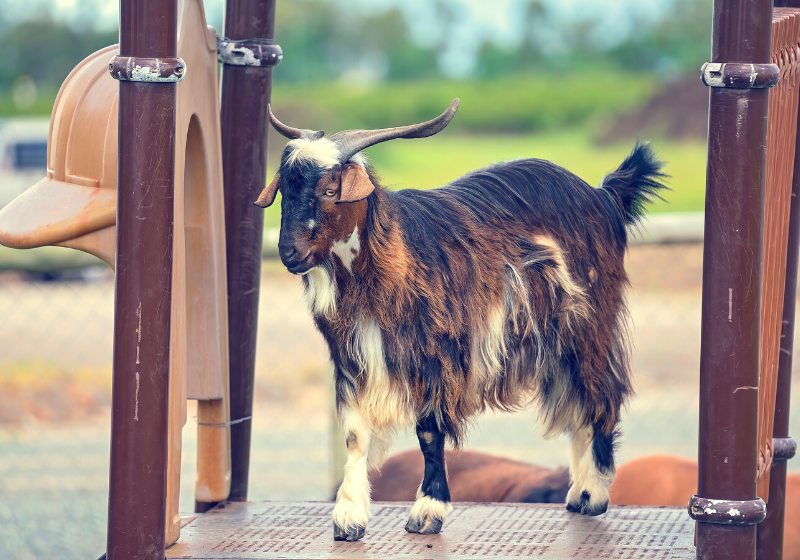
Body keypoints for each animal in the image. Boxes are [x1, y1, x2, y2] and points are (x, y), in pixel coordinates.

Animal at [255, 99, 667, 541]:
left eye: (330, 190)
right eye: (284, 190)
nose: (289, 252)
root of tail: (604, 195)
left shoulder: (437, 356)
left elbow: (429, 432)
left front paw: (427, 512)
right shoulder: (353, 358)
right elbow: (354, 434)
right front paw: (349, 518)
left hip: (591, 323)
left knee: (600, 394)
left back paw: (593, 495)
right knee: (576, 402)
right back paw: (577, 495)